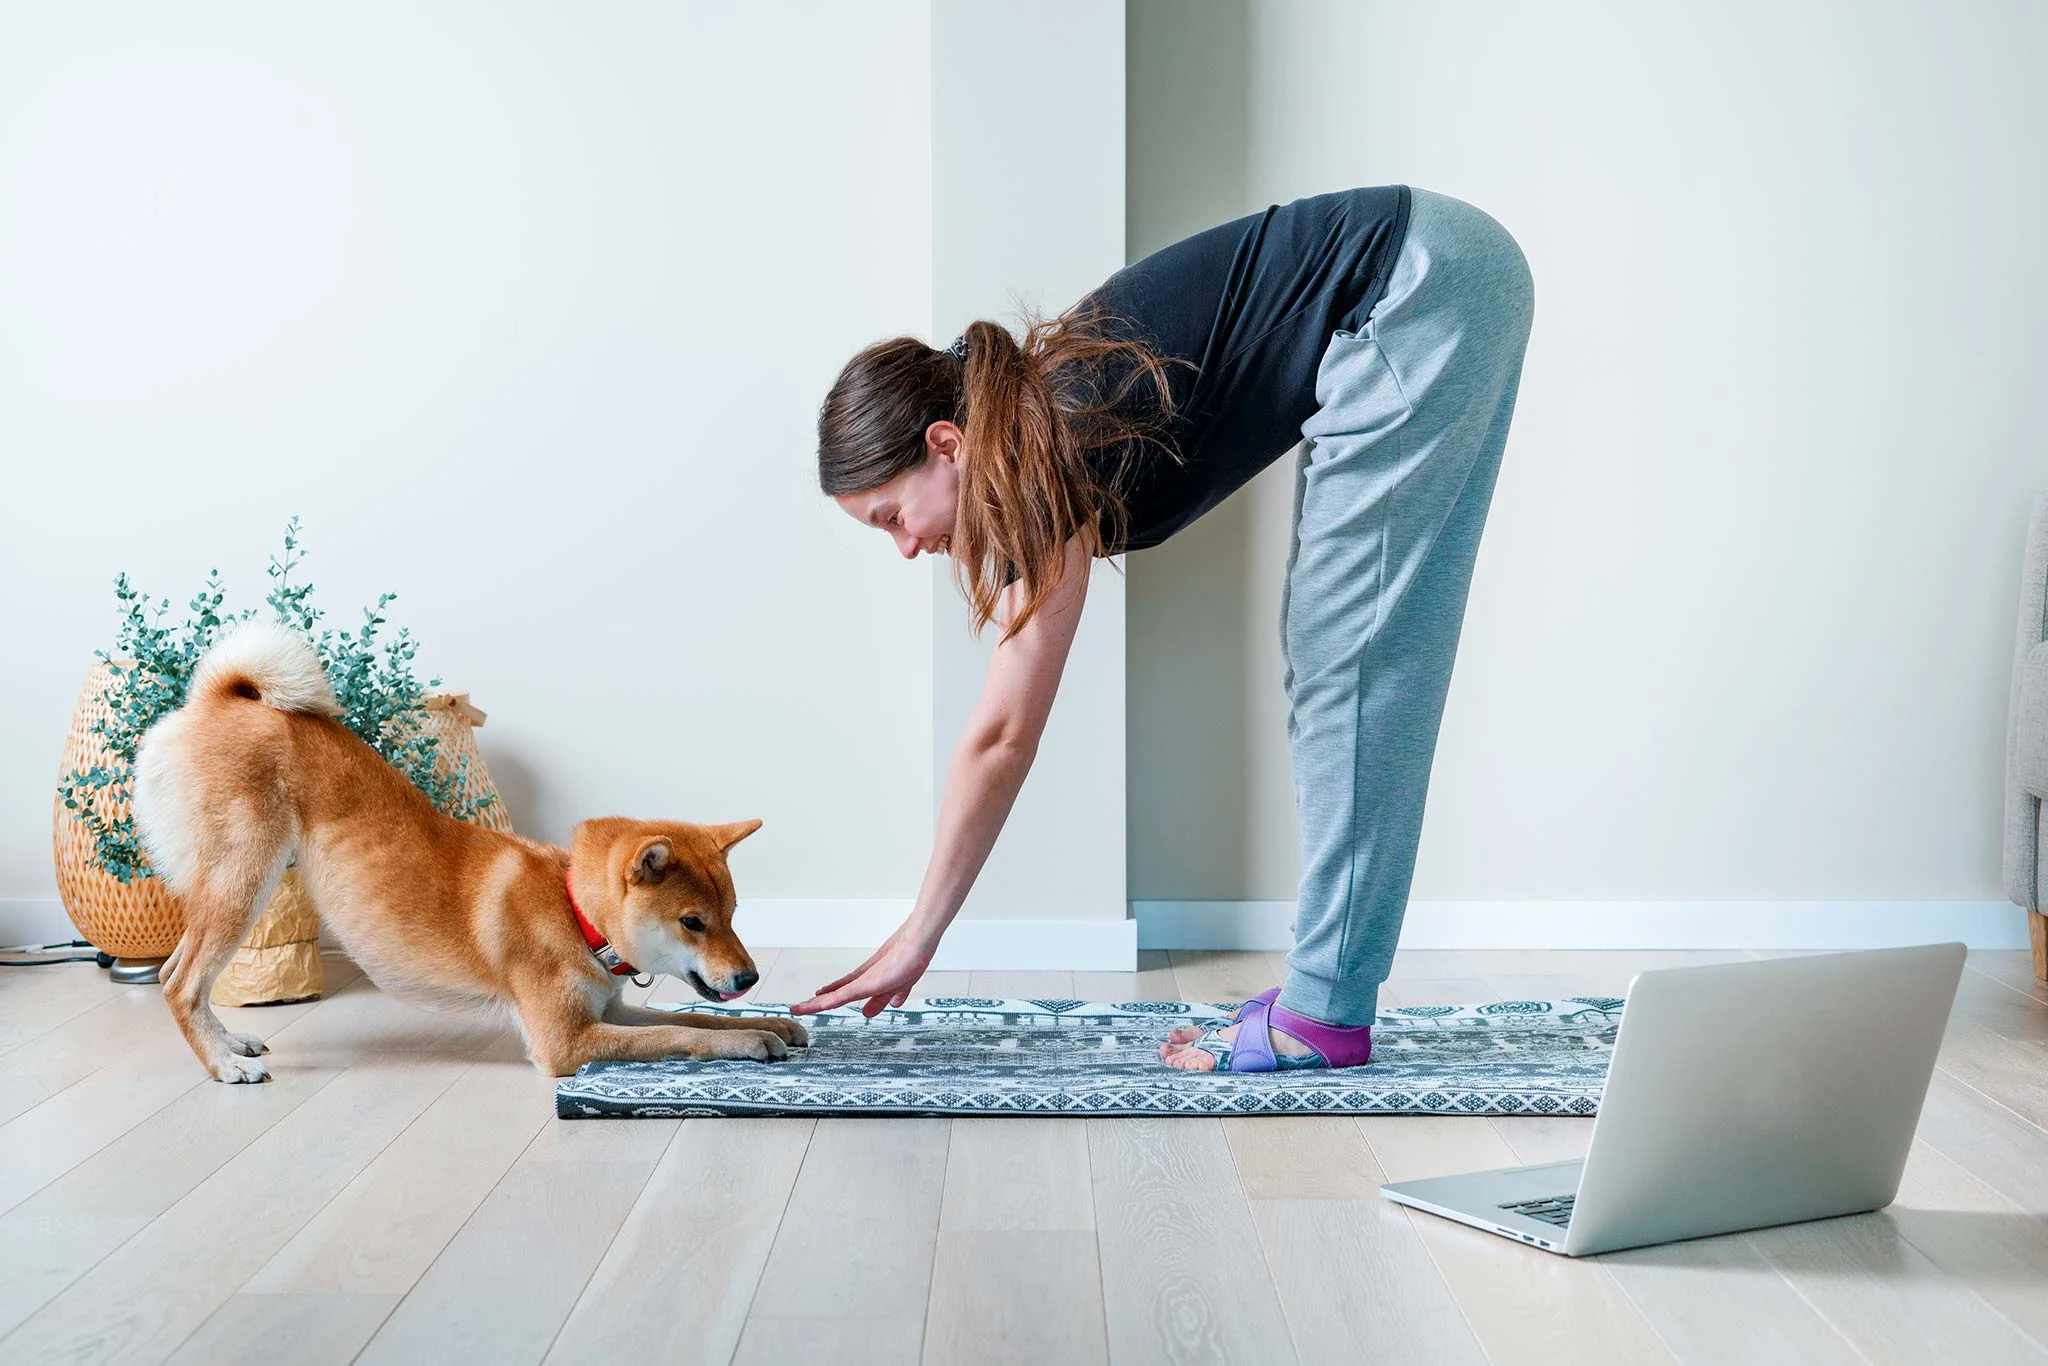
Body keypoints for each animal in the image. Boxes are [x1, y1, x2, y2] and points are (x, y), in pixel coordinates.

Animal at [132, 626, 802, 1081]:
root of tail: (224, 697)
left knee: (173, 974)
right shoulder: (566, 1042)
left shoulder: (606, 1012)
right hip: (246, 878)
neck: (573, 913)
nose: (751, 977)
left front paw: (774, 1021)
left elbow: (696, 1018)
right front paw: (749, 1044)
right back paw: (225, 1065)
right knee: (180, 982)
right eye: (692, 922)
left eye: (733, 915)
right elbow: (684, 1034)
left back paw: (230, 1044)